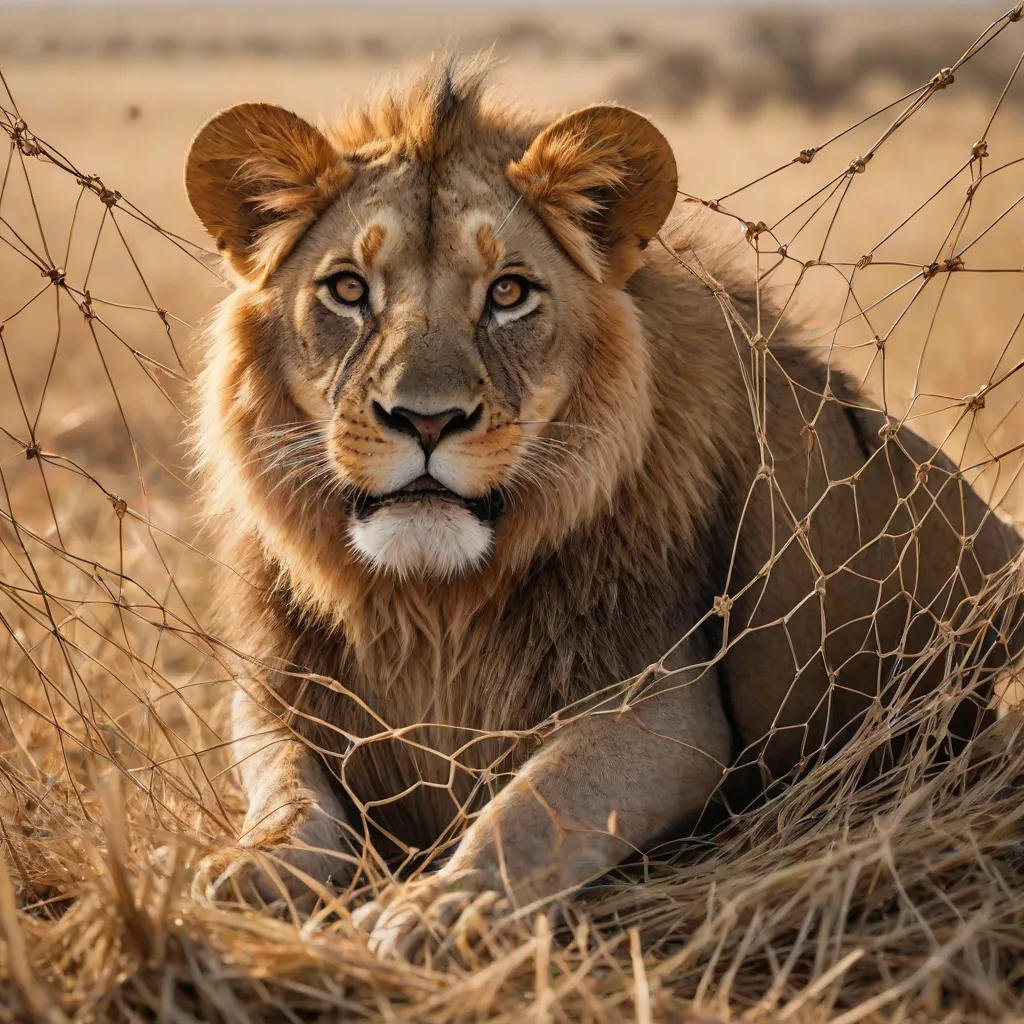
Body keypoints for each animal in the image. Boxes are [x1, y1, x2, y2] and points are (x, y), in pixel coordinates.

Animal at [184, 59, 1022, 959]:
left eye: (509, 293)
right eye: (347, 290)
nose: (427, 419)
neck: (432, 606)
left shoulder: (661, 704)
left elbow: (541, 801)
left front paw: (447, 906)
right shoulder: (275, 692)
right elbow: (290, 796)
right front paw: (241, 868)